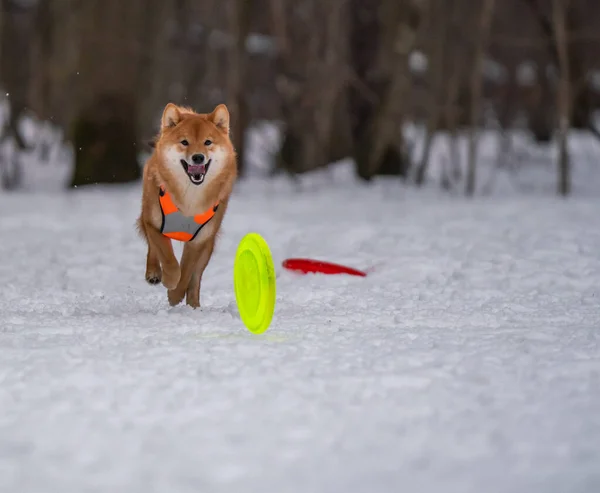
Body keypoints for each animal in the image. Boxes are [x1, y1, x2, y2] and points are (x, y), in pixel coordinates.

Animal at [137, 102, 238, 306]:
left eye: (208, 142)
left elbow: (186, 273)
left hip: (208, 245)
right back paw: (154, 273)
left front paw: (175, 294)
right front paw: (169, 280)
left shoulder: (199, 240)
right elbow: (167, 256)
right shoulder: (153, 224)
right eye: (184, 142)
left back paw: (194, 306)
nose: (198, 157)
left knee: (196, 278)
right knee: (152, 249)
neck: (189, 198)